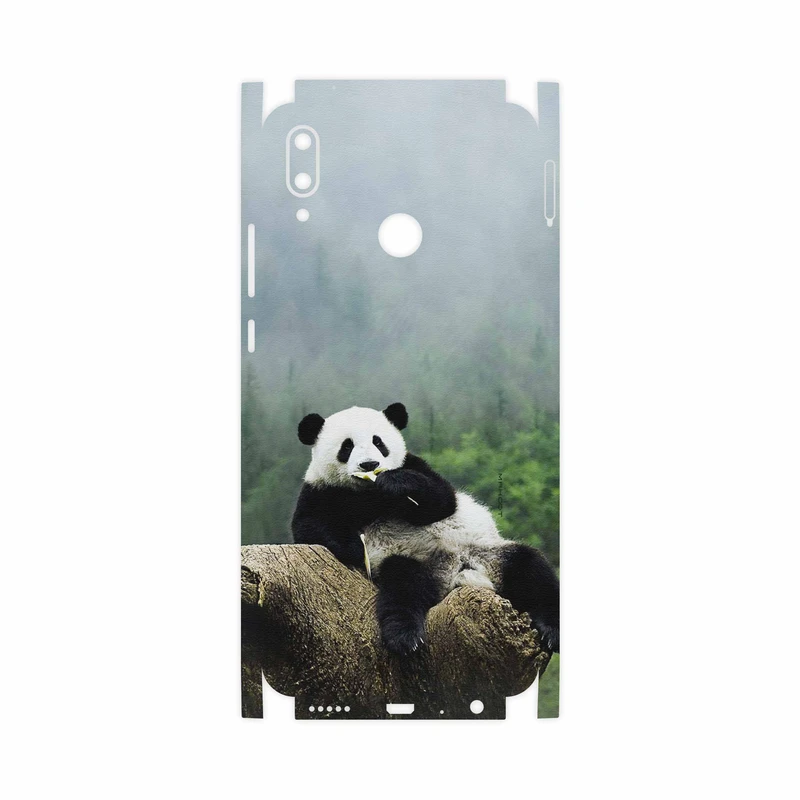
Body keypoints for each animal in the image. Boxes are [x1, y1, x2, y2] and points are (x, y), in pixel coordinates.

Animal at [292, 402, 560, 655]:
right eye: (347, 446)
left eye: (378, 442)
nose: (370, 464)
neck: (368, 494)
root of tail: (458, 573)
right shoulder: (321, 491)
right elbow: (309, 527)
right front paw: (356, 547)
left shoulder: (415, 465)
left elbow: (442, 500)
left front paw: (395, 483)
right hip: (413, 561)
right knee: (403, 587)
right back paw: (405, 637)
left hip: (490, 553)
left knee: (532, 569)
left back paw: (552, 631)